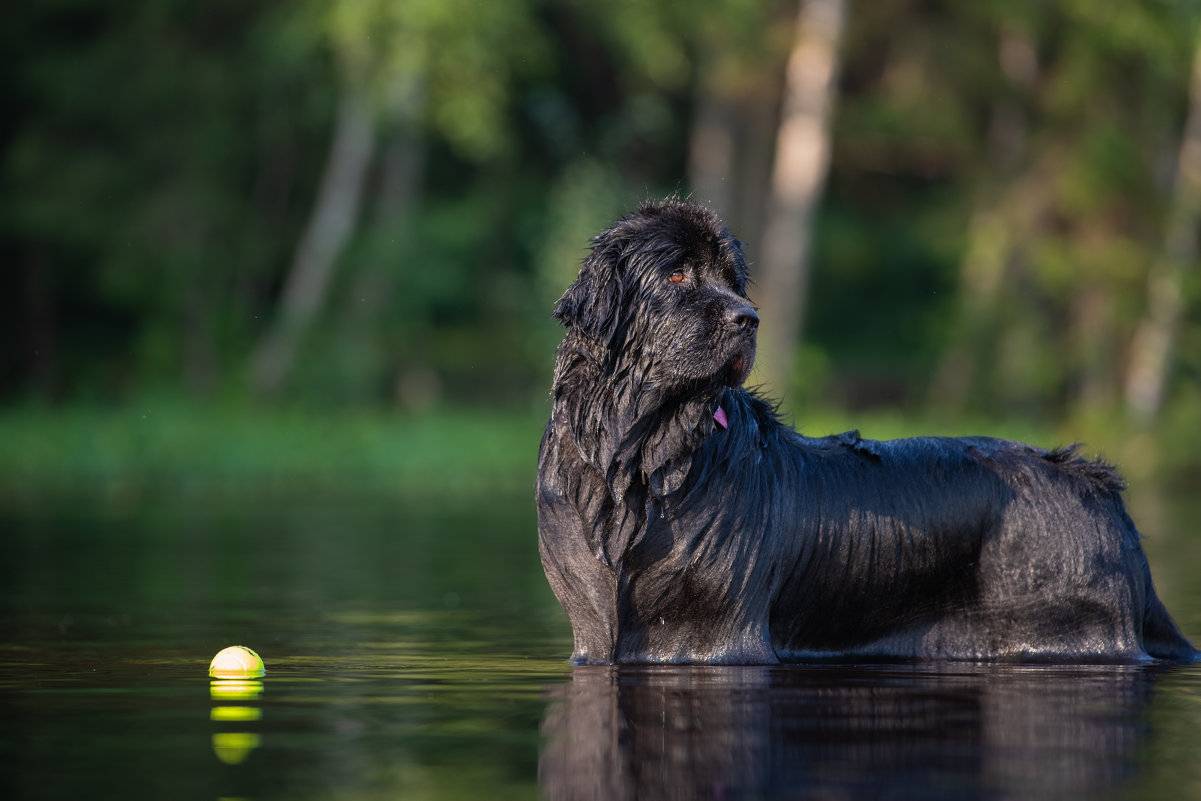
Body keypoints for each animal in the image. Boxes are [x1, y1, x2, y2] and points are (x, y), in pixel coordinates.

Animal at [540, 199, 1196, 662]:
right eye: (676, 276)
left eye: (734, 281)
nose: (748, 318)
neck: (641, 458)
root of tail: (1099, 489)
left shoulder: (717, 632)